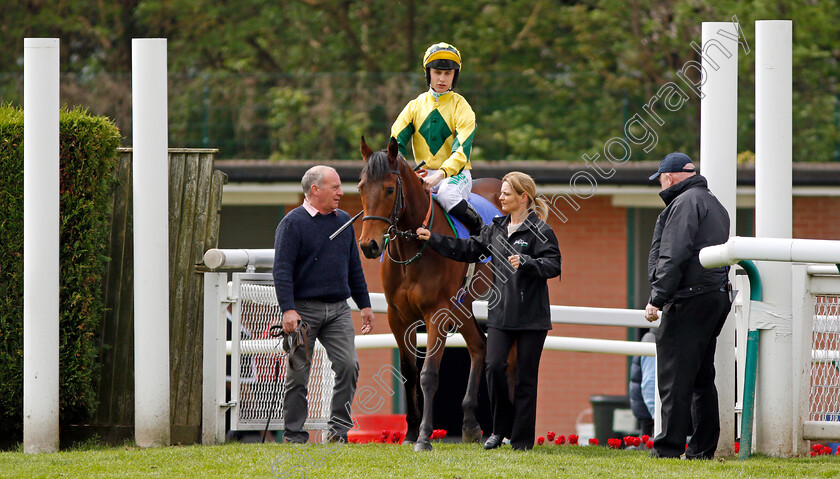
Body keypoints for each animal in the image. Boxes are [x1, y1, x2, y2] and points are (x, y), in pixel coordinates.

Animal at [358, 137, 502, 452]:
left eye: (389, 189)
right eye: (361, 187)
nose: (368, 245)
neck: (412, 249)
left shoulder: (436, 313)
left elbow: (429, 374)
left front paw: (424, 437)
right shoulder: (398, 316)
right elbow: (409, 372)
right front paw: (411, 432)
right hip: (462, 305)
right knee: (479, 346)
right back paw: (470, 424)